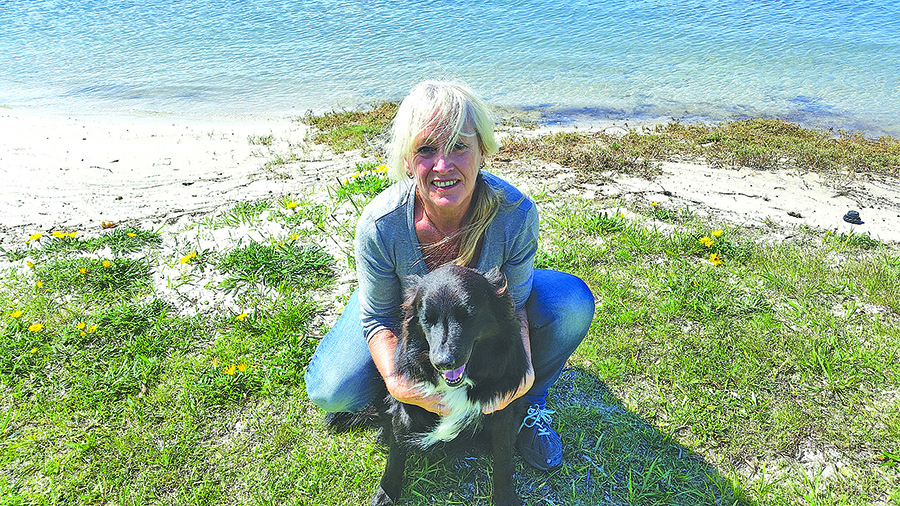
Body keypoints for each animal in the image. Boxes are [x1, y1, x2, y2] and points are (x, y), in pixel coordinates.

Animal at [370, 264, 532, 506]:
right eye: (427, 318)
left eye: (468, 316)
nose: (443, 362)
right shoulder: (405, 410)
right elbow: (395, 458)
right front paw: (386, 494)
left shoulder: (502, 412)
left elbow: (503, 462)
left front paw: (506, 498)